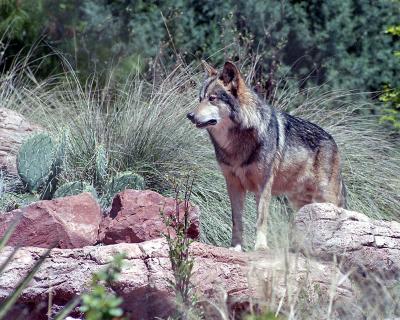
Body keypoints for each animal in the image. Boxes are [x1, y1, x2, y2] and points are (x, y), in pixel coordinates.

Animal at [186, 59, 346, 250]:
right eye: (200, 99)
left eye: (212, 98)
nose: (189, 115)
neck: (238, 142)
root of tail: (331, 139)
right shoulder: (233, 185)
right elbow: (236, 221)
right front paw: (236, 247)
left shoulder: (263, 185)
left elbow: (261, 220)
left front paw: (260, 247)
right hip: (300, 202)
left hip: (326, 197)